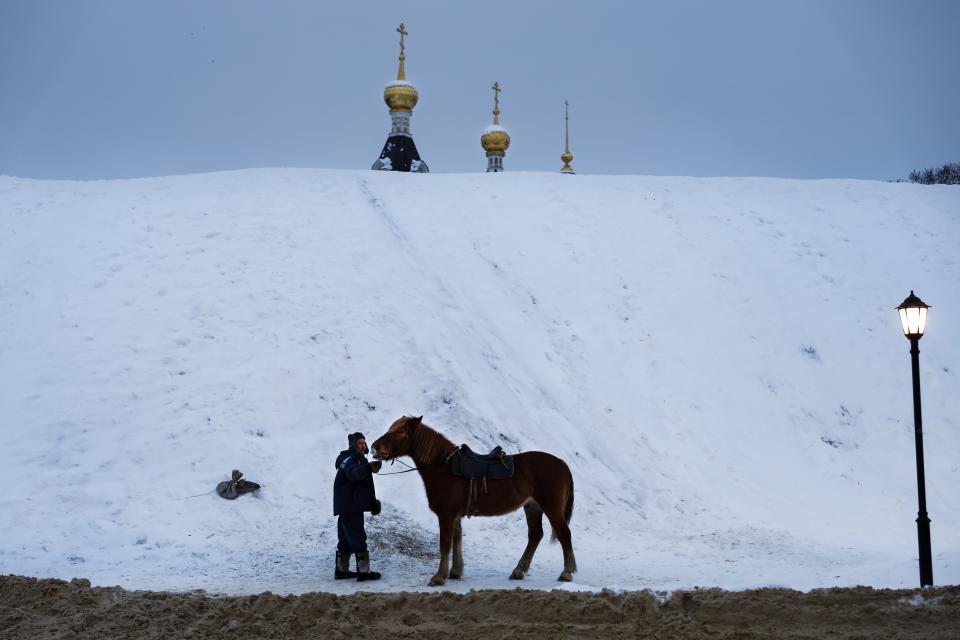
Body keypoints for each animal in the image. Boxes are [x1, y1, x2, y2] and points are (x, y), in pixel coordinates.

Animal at [372, 416, 572, 584]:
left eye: (401, 431)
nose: (375, 447)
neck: (443, 467)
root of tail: (561, 463)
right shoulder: (455, 515)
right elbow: (457, 540)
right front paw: (455, 571)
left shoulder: (446, 514)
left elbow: (445, 544)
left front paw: (439, 577)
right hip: (532, 507)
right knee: (535, 535)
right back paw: (519, 571)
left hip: (551, 507)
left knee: (564, 534)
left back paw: (567, 572)